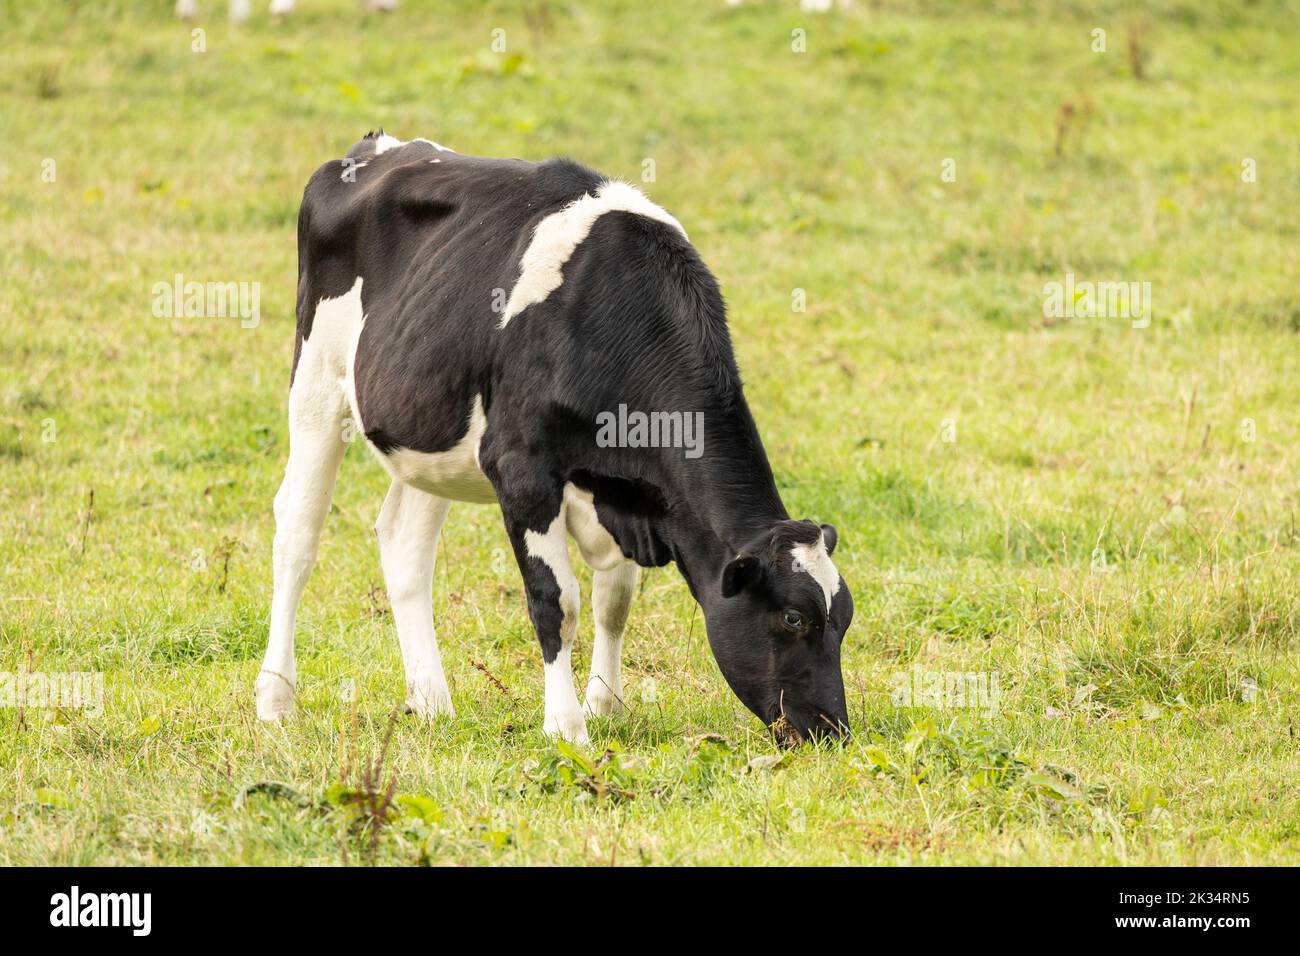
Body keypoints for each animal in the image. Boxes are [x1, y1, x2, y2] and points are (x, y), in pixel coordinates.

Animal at [256, 131, 854, 745]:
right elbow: (557, 602)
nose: (832, 728)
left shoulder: (624, 488)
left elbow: (615, 600)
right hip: (316, 385)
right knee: (297, 535)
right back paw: (277, 698)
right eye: (794, 618)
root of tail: (377, 146)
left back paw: (431, 700)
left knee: (403, 543)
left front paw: (604, 705)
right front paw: (566, 725)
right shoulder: (522, 467)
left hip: (431, 435)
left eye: (844, 621)